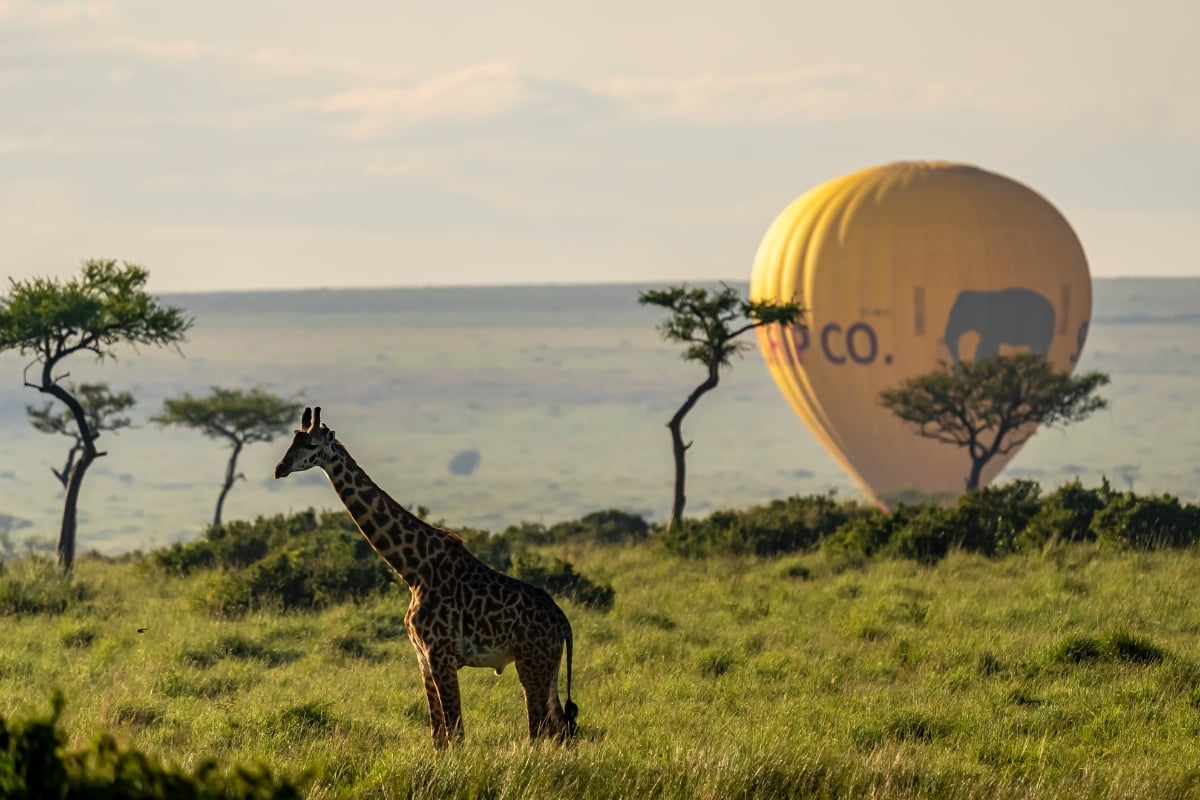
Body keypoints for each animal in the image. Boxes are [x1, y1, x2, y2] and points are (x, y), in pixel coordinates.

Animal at [277, 407, 585, 753]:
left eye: (311, 445)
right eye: (293, 440)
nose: (280, 468)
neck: (414, 569)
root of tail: (563, 623)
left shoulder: (441, 654)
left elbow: (456, 732)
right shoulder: (423, 658)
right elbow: (438, 734)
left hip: (530, 663)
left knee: (540, 727)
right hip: (550, 666)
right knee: (561, 726)